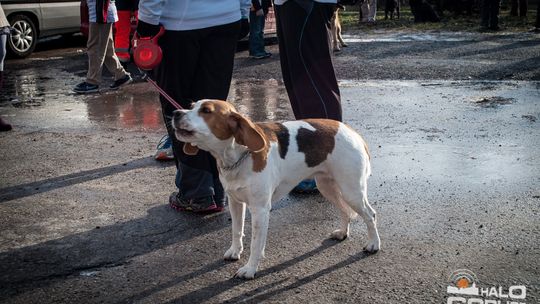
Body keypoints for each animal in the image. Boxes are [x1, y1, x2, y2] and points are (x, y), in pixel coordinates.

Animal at [173, 99, 380, 278]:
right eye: (191, 106)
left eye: (206, 111)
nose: (175, 113)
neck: (237, 156)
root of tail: (352, 132)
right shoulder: (235, 202)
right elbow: (236, 230)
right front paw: (235, 251)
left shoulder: (260, 210)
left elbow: (256, 244)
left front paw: (250, 269)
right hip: (327, 186)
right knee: (344, 210)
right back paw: (343, 233)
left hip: (351, 191)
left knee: (370, 214)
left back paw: (373, 244)